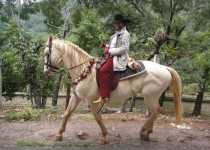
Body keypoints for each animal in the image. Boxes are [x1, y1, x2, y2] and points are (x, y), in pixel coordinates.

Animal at [43, 37, 181, 144]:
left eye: (47, 53)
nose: (46, 71)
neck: (85, 70)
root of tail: (165, 68)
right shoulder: (76, 97)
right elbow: (67, 113)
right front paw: (58, 135)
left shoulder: (91, 101)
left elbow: (98, 117)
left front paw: (104, 136)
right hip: (150, 97)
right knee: (154, 112)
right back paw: (147, 132)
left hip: (150, 96)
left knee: (156, 111)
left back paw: (143, 131)